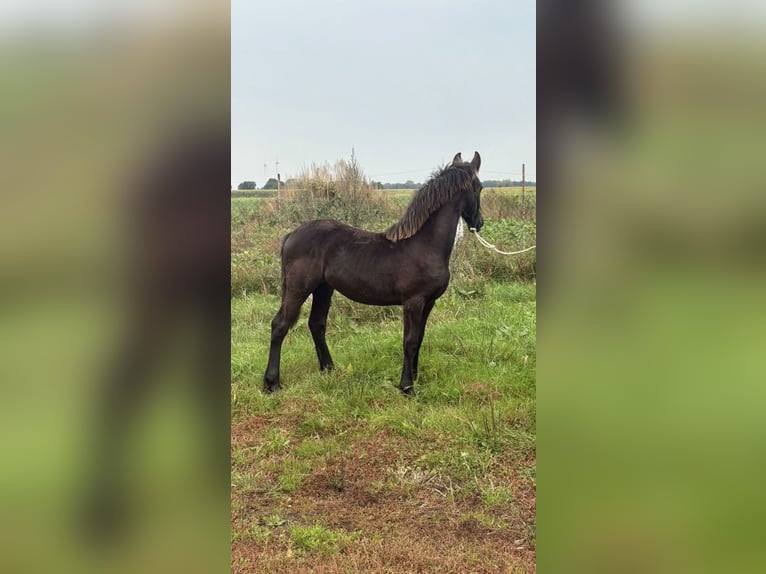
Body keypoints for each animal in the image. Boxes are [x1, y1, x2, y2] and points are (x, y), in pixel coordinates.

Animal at [264, 151, 484, 396]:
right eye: (479, 188)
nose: (479, 223)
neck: (425, 245)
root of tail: (291, 235)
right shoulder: (413, 302)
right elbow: (409, 341)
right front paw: (407, 387)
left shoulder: (428, 303)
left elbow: (419, 338)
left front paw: (414, 377)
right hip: (299, 287)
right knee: (280, 325)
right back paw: (272, 383)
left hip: (323, 289)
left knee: (317, 324)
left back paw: (329, 369)